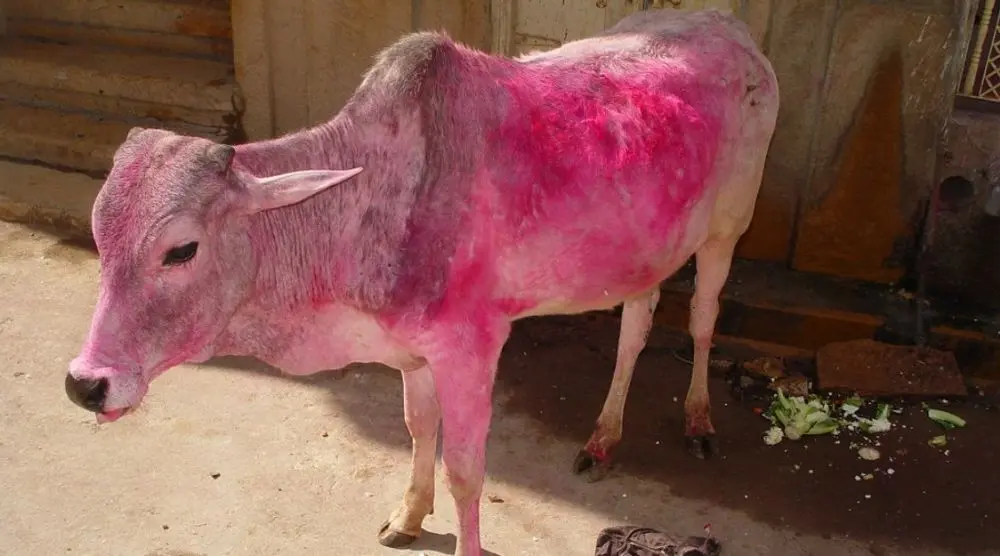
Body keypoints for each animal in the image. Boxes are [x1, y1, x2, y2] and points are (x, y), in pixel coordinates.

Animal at [64, 8, 778, 556]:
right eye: (100, 237)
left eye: (180, 250)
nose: (84, 384)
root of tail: (730, 26)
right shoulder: (414, 352)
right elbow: (417, 429)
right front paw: (407, 516)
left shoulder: (472, 347)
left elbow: (465, 470)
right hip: (646, 251)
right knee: (637, 323)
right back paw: (602, 437)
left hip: (729, 227)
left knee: (703, 317)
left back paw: (698, 420)